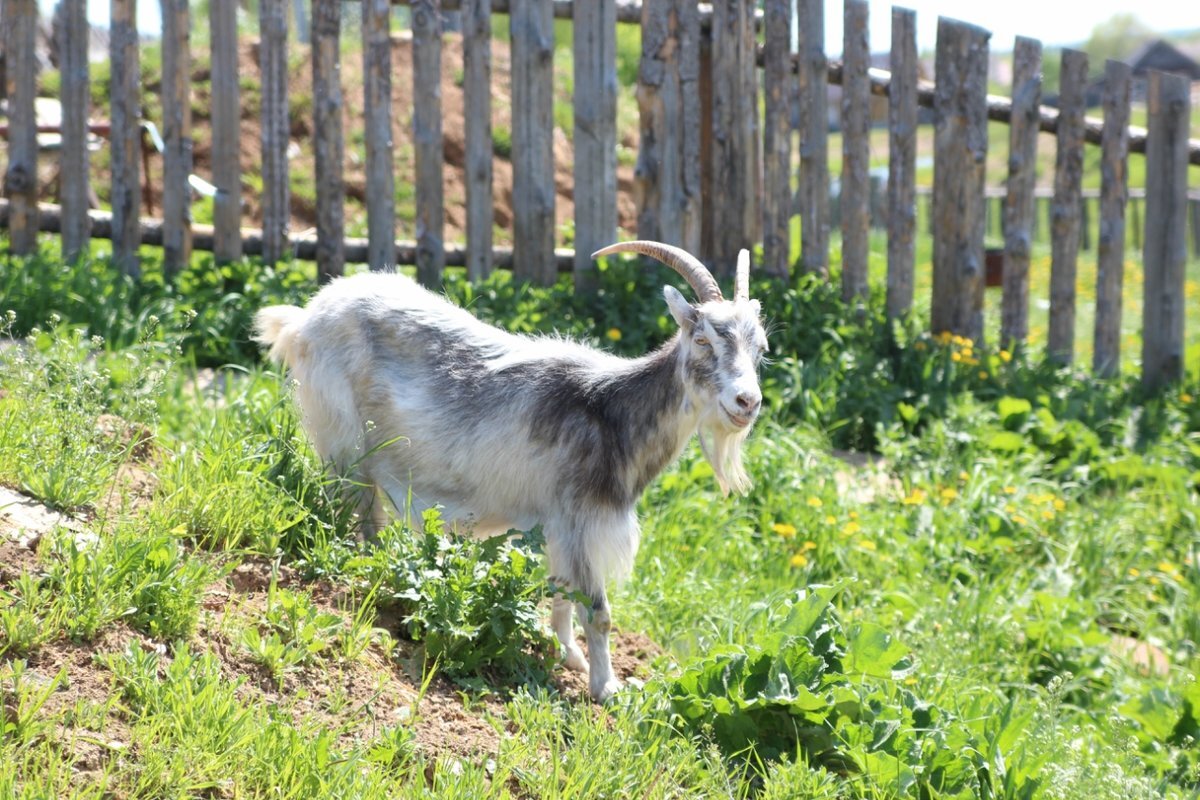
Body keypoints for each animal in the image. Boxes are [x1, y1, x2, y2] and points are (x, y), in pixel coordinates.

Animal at [258, 242, 772, 700]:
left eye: (760, 349)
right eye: (703, 339)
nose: (747, 401)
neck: (610, 412)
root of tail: (305, 318)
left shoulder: (558, 526)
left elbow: (562, 596)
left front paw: (568, 655)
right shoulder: (578, 519)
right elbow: (598, 610)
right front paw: (607, 689)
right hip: (343, 446)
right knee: (355, 519)